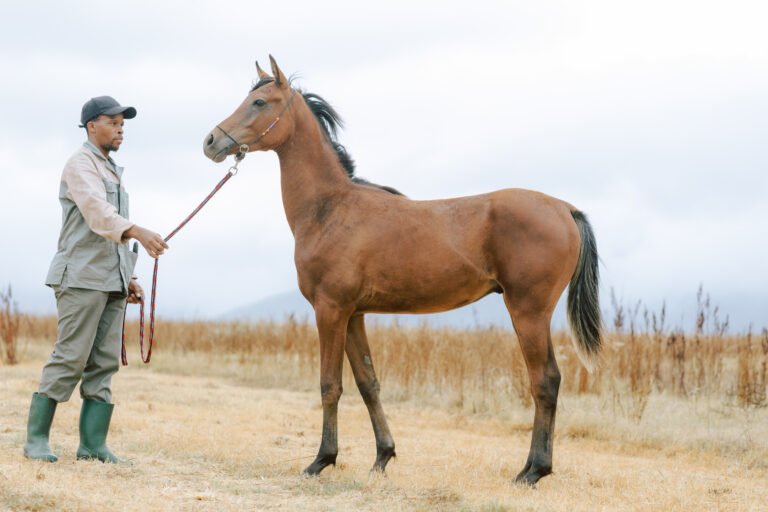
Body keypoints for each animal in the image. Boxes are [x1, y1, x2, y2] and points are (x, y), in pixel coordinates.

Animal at [202, 57, 600, 488]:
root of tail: (565, 209)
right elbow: (368, 384)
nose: (211, 141)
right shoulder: (354, 315)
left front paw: (321, 460)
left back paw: (532, 471)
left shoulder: (330, 310)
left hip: (528, 312)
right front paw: (382, 457)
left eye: (259, 102)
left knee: (546, 381)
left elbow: (329, 385)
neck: (330, 209)